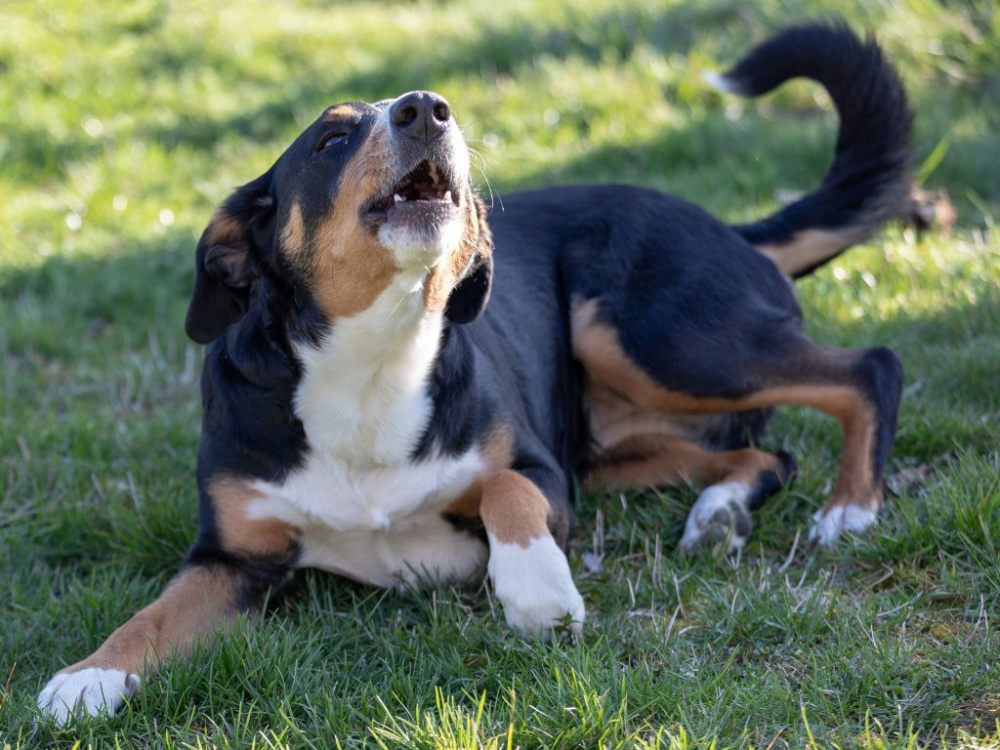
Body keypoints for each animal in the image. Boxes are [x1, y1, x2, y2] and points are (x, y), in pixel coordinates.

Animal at [39, 23, 916, 724]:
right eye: (329, 141)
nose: (426, 107)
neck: (374, 360)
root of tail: (730, 228)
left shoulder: (543, 473)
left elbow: (505, 489)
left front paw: (537, 588)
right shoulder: (232, 555)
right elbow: (154, 614)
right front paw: (88, 678)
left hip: (653, 336)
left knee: (869, 366)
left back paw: (851, 508)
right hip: (616, 443)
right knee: (765, 454)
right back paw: (720, 513)